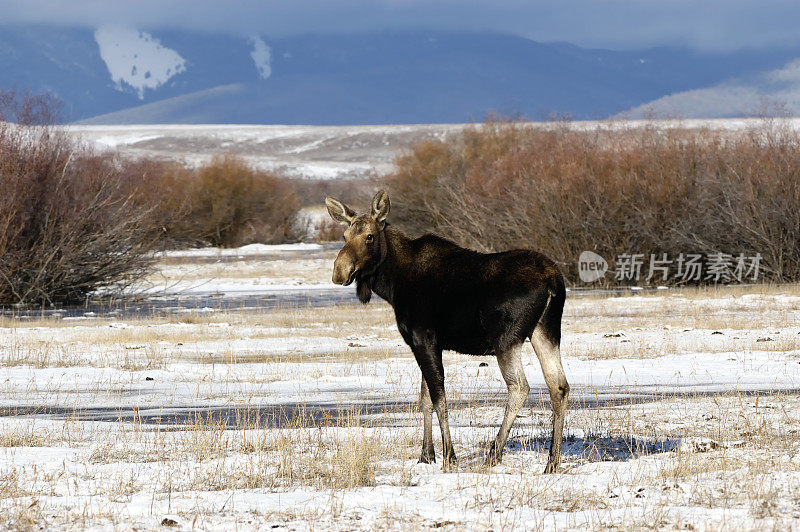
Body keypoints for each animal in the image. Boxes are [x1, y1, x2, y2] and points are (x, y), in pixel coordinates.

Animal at [324, 191, 568, 474]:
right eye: (344, 236)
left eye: (370, 236)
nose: (339, 272)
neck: (392, 283)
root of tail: (554, 282)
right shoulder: (426, 343)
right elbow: (425, 398)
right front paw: (425, 455)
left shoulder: (423, 338)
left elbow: (438, 397)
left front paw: (449, 456)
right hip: (545, 331)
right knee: (559, 385)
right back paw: (552, 461)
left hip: (506, 338)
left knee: (519, 387)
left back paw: (494, 453)